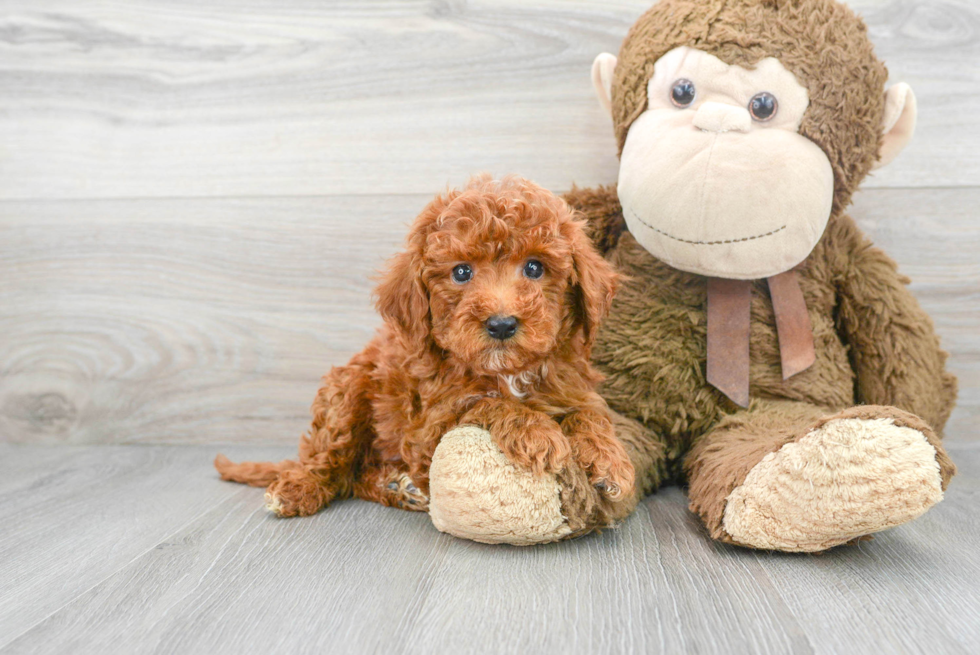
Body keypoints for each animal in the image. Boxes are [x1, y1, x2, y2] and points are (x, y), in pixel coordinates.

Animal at [214, 174, 636, 516]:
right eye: (461, 272)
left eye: (534, 267)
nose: (501, 324)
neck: (507, 373)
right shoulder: (429, 429)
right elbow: (486, 403)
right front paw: (538, 433)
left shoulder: (573, 387)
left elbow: (591, 412)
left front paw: (610, 459)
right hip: (345, 390)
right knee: (332, 463)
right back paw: (301, 488)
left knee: (356, 476)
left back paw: (397, 486)